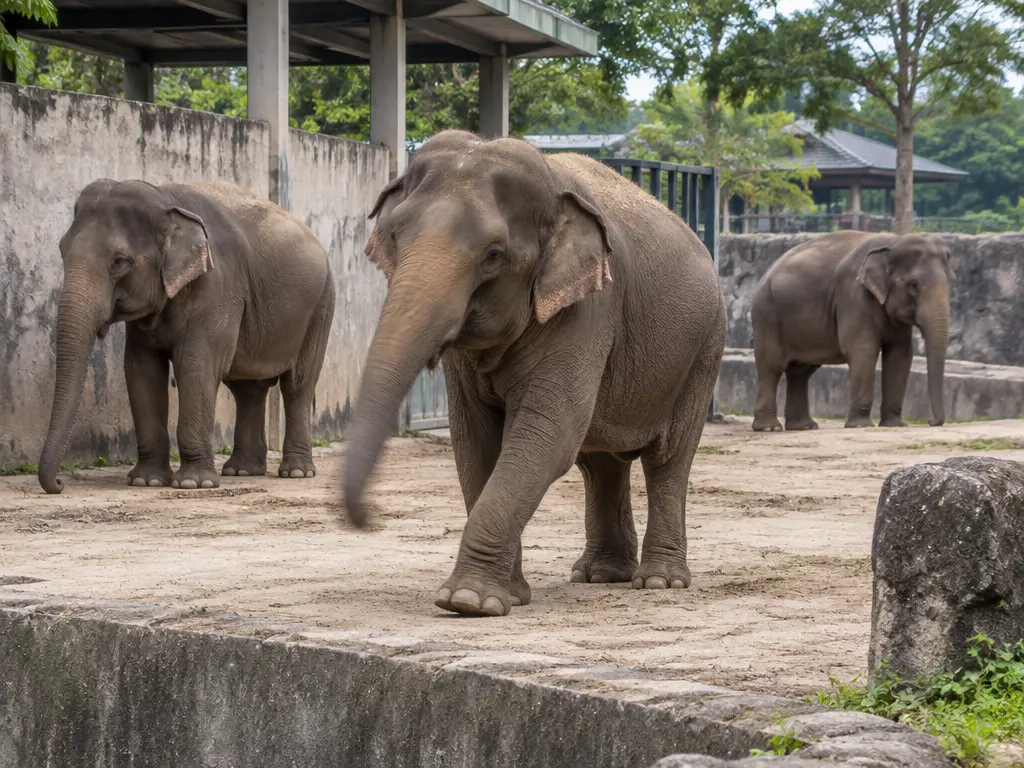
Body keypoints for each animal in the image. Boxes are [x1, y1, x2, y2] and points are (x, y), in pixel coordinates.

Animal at [38, 178, 335, 494]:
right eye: (61, 250)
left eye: (119, 262)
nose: (59, 484)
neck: (163, 197)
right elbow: (141, 369)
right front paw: (147, 480)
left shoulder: (217, 287)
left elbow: (196, 364)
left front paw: (194, 483)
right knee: (248, 388)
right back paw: (242, 471)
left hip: (321, 306)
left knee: (298, 384)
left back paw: (296, 472)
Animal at [342, 130, 728, 617]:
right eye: (394, 236)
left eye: (493, 256)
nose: (367, 518)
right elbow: (475, 441)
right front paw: (505, 597)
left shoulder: (588, 309)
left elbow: (546, 435)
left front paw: (468, 601)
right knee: (599, 462)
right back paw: (600, 575)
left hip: (704, 349)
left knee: (668, 458)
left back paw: (659, 582)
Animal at [750, 230, 953, 432]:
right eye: (913, 285)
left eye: (952, 281)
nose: (931, 421)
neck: (893, 241)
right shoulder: (853, 296)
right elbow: (864, 351)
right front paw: (861, 425)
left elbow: (900, 355)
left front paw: (896, 424)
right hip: (767, 316)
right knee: (771, 367)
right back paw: (770, 428)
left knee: (801, 371)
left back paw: (804, 426)